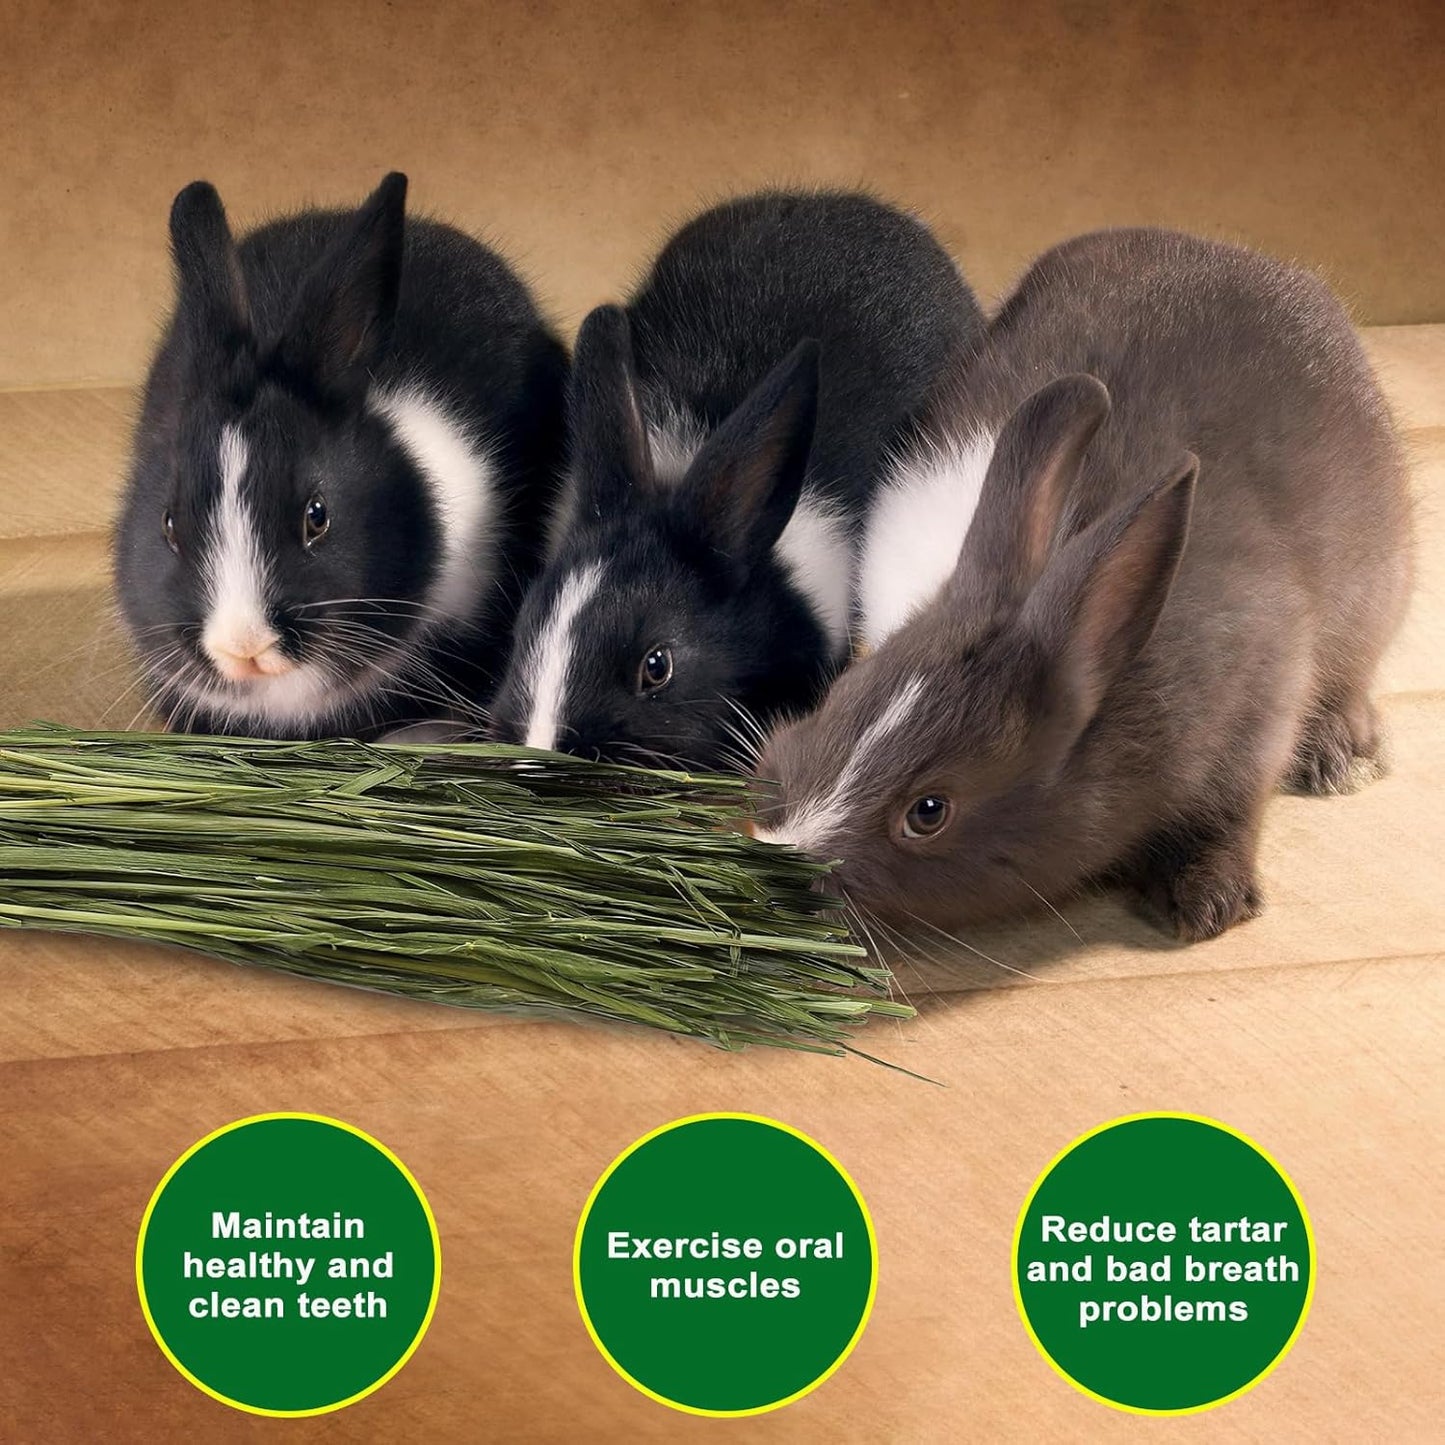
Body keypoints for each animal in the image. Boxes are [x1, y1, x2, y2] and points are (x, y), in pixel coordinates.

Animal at [754, 227, 1413, 943]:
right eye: (840, 698)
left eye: (929, 811)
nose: (786, 857)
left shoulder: (1259, 714)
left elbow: (1230, 811)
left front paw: (1202, 904)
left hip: (1377, 592)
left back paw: (1342, 758)